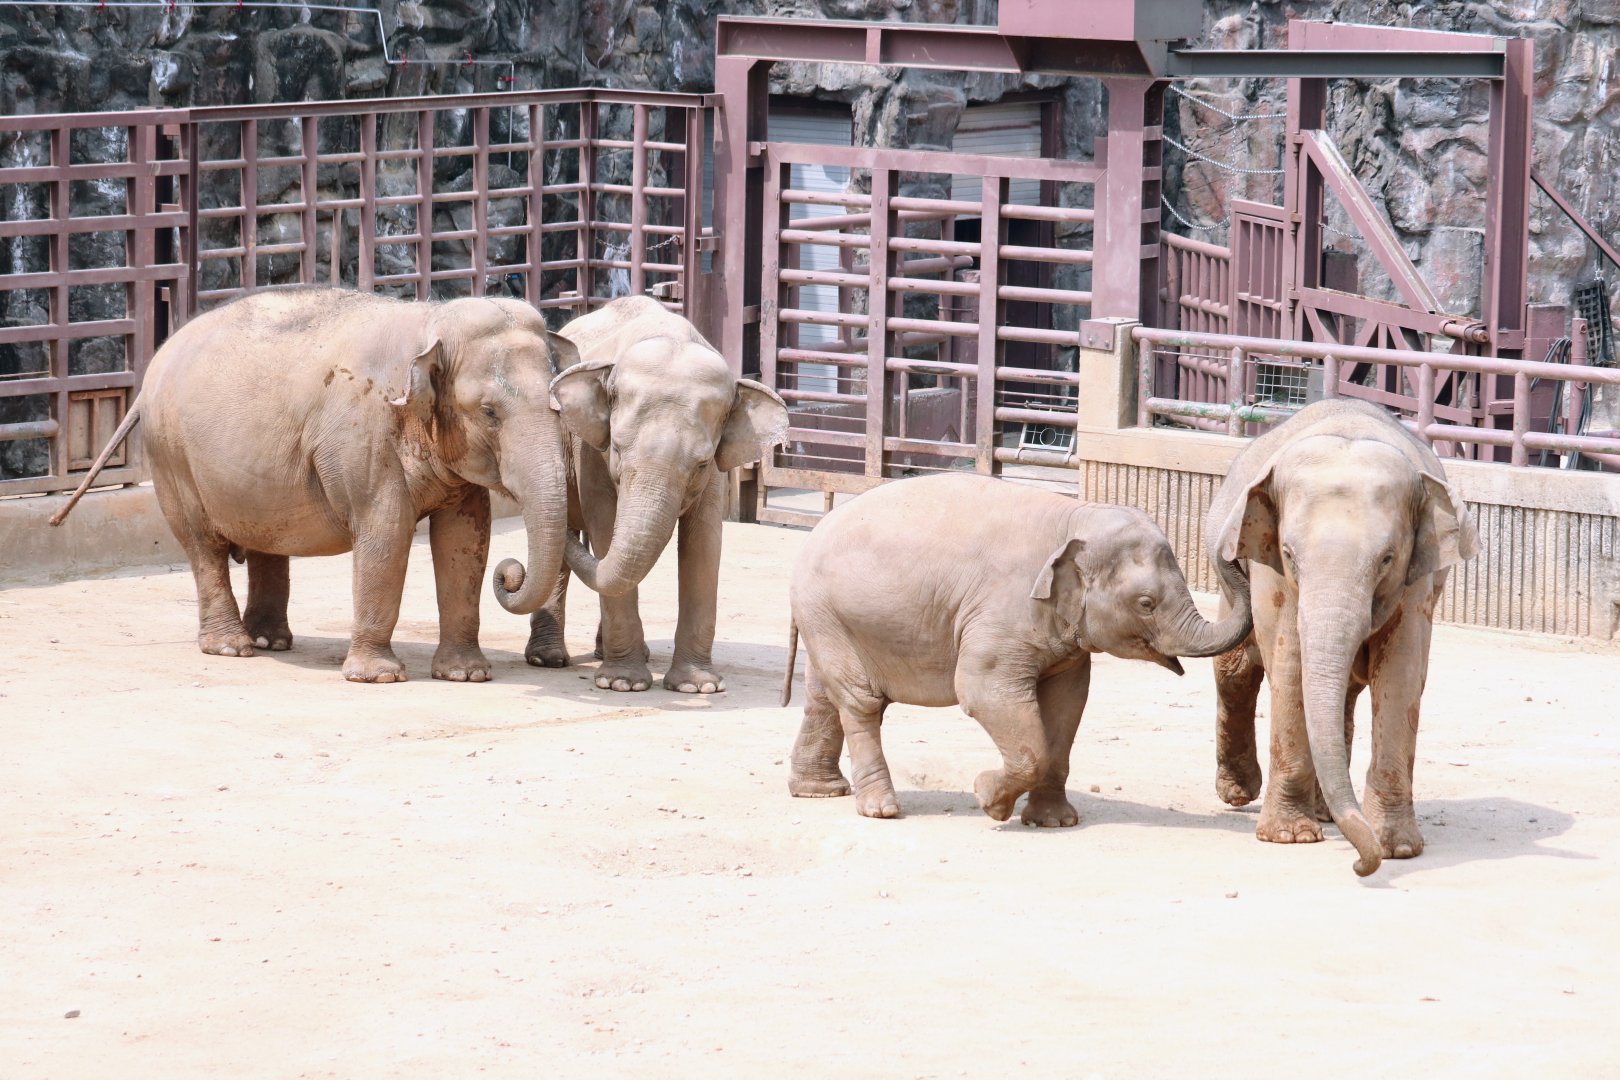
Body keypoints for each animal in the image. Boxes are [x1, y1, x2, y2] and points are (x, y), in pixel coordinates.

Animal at [53, 288, 578, 683]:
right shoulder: (363, 438)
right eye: (489, 412)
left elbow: (466, 540)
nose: (512, 573)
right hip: (172, 457)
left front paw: (465, 675)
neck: (429, 323)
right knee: (203, 546)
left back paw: (270, 641)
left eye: (558, 406)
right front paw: (378, 678)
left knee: (263, 537)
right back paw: (233, 648)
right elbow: (386, 534)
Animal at [519, 295, 789, 694]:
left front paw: (697, 686)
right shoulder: (591, 453)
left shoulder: (715, 469)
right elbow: (606, 526)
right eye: (617, 448)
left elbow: (704, 541)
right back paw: (547, 659)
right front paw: (622, 684)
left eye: (701, 463)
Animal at [781, 472, 1254, 825]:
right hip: (829, 615)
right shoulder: (1001, 612)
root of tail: (813, 532)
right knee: (861, 702)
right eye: (1146, 604)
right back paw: (880, 809)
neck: (1073, 518)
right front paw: (988, 800)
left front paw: (1055, 821)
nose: (1233, 552)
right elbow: (983, 692)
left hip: (831, 620)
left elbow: (1067, 702)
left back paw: (820, 791)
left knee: (824, 697)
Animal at [1206, 398, 1478, 876]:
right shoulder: (1271, 569)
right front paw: (1289, 838)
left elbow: (1401, 675)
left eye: (1387, 558)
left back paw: (1329, 812)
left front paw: (1396, 848)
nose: (1358, 865)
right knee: (1234, 670)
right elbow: (1289, 662)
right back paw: (1240, 793)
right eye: (1290, 554)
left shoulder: (1417, 581)